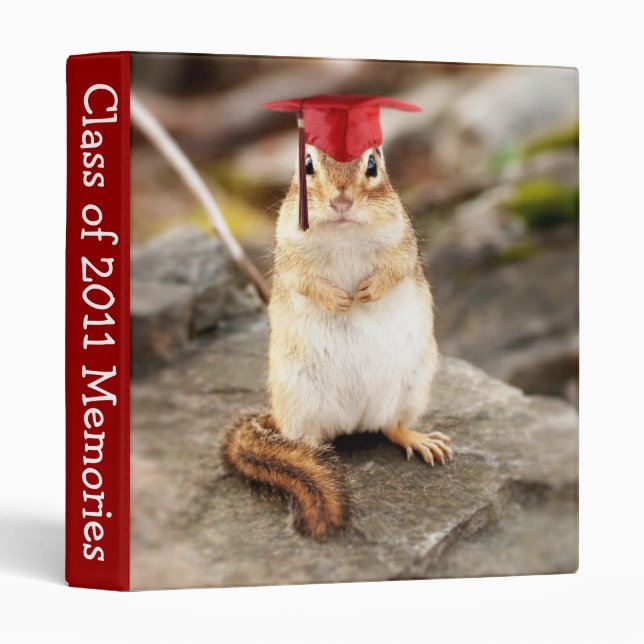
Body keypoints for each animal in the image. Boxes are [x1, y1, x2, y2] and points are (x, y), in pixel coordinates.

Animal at [223, 144, 453, 538]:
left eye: (372, 165)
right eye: (307, 164)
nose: (341, 201)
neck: (344, 231)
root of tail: (353, 423)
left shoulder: (403, 240)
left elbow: (397, 267)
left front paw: (368, 291)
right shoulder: (288, 252)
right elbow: (302, 278)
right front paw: (338, 300)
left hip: (412, 389)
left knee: (392, 427)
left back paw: (420, 440)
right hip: (300, 402)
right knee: (306, 445)